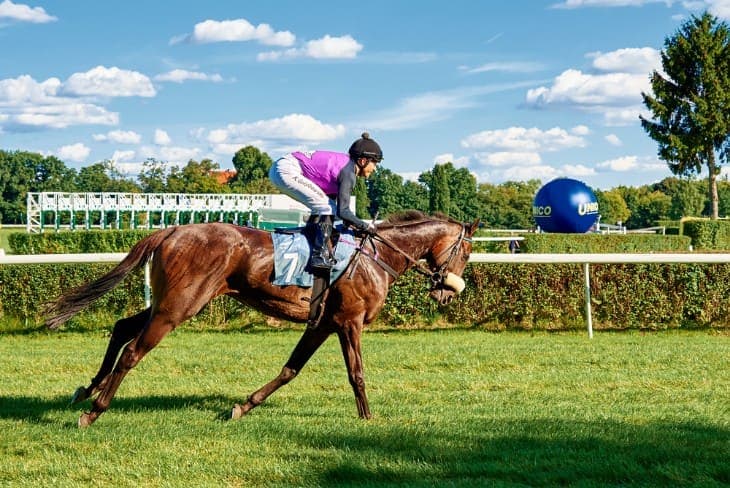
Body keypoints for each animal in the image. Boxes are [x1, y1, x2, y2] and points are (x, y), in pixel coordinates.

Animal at [45, 210, 479, 428]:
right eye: (466, 252)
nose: (445, 291)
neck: (377, 257)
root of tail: (171, 230)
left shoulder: (322, 323)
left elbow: (290, 370)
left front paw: (242, 407)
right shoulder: (349, 321)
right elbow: (356, 373)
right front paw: (369, 419)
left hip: (170, 303)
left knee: (122, 328)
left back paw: (87, 389)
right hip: (178, 307)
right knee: (133, 351)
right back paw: (94, 410)